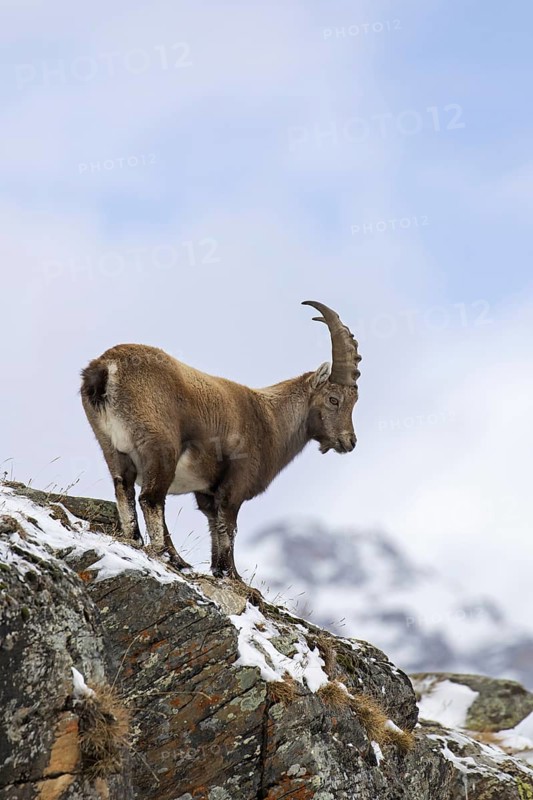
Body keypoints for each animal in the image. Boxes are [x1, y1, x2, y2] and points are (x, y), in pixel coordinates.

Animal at [80, 301, 361, 581]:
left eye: (354, 401)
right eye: (334, 399)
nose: (349, 441)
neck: (270, 419)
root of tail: (106, 368)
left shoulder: (206, 491)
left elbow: (214, 523)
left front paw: (218, 569)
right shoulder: (235, 483)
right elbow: (229, 527)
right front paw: (233, 575)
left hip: (111, 447)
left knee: (124, 489)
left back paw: (141, 542)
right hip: (161, 448)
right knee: (150, 498)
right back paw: (166, 555)